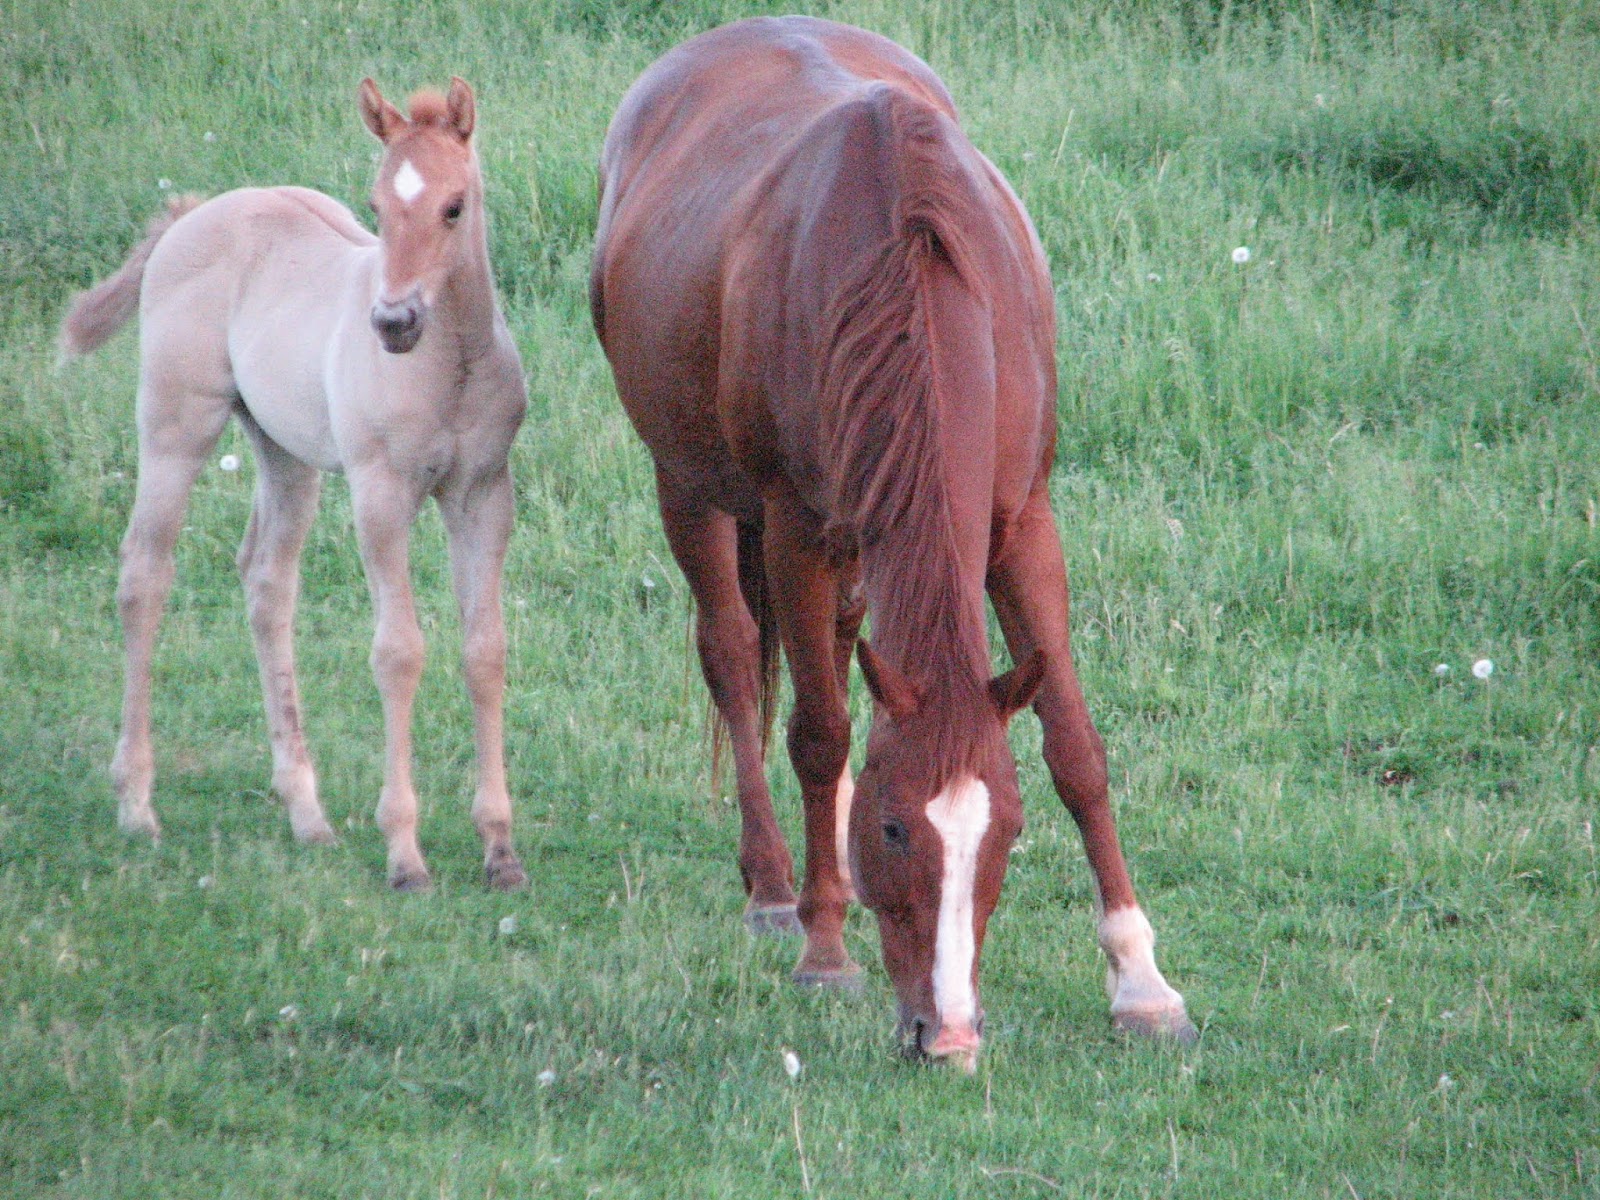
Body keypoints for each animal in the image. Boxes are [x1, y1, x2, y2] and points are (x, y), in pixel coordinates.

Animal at [59, 78, 529, 893]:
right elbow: (398, 651)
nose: (393, 321)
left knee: (267, 581)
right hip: (178, 425)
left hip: (284, 451)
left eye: (454, 205)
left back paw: (306, 812)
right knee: (144, 574)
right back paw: (137, 804)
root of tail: (194, 214)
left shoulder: (481, 495)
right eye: (377, 205)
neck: (453, 367)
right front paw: (404, 852)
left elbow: (485, 651)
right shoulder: (380, 494)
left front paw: (499, 849)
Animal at [591, 17, 1195, 1068]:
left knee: (831, 647)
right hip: (693, 489)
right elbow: (821, 734)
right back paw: (776, 887)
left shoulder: (1019, 523)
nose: (947, 1033)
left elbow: (1076, 745)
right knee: (735, 655)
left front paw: (1141, 980)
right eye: (894, 830)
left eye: (1007, 833)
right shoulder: (795, 524)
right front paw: (829, 948)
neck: (910, 272)